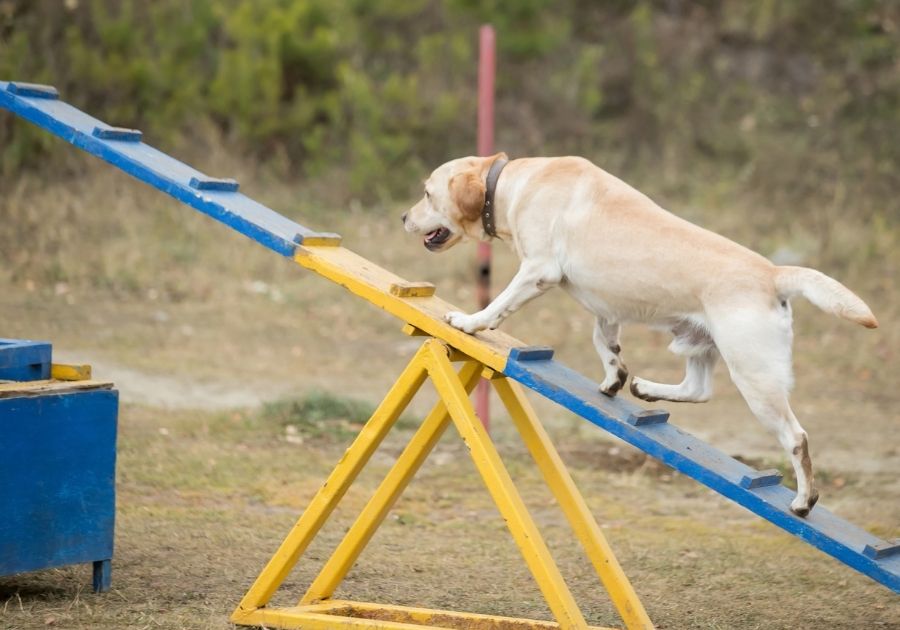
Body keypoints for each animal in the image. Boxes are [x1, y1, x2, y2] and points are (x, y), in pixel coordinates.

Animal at [402, 154, 880, 520]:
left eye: (426, 193)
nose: (403, 216)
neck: (514, 185)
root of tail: (775, 273)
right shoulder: (604, 308)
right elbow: (605, 344)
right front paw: (615, 377)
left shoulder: (538, 271)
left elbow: (499, 303)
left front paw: (470, 321)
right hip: (701, 345)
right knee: (699, 389)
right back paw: (646, 388)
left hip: (755, 376)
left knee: (796, 438)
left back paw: (803, 501)